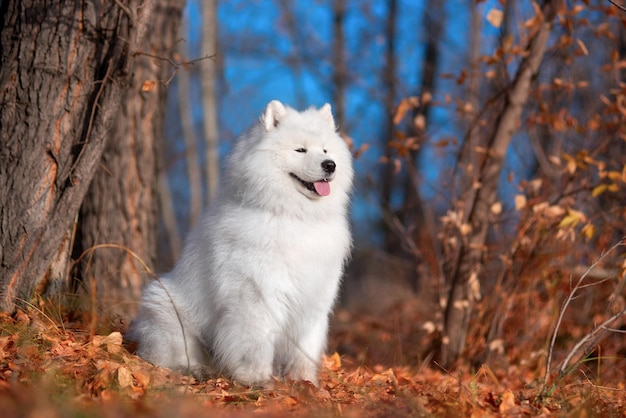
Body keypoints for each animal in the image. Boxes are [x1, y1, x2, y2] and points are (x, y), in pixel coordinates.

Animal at [130, 100, 354, 386]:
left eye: (325, 149)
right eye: (300, 150)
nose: (330, 165)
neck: (295, 216)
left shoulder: (314, 298)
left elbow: (305, 349)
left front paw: (305, 383)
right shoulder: (257, 295)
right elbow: (255, 343)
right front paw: (255, 379)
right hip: (166, 307)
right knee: (169, 356)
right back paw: (194, 370)